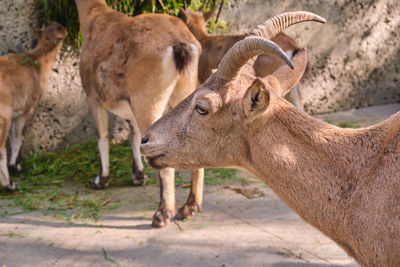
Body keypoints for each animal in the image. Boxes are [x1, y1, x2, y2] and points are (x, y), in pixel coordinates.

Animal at [0, 22, 65, 192]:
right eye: (59, 29)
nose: (64, 27)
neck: (37, 63)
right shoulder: (25, 109)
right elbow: (18, 137)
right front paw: (15, 166)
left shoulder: (15, 112)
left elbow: (14, 137)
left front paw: (17, 165)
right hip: (3, 115)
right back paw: (10, 185)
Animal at [74, 0, 203, 227]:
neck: (92, 19)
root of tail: (181, 47)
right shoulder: (130, 104)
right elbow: (134, 136)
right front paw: (138, 176)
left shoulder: (92, 94)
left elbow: (102, 136)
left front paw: (101, 179)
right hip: (185, 90)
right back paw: (188, 208)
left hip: (148, 98)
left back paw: (162, 215)